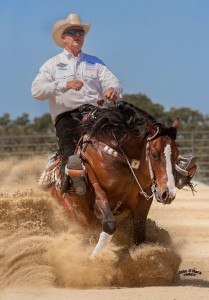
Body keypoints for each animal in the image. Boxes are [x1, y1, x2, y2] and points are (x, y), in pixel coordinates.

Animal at [46, 100, 180, 258]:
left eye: (177, 155)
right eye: (154, 154)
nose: (168, 193)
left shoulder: (143, 201)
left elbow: (140, 233)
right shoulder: (96, 190)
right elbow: (110, 224)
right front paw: (94, 258)